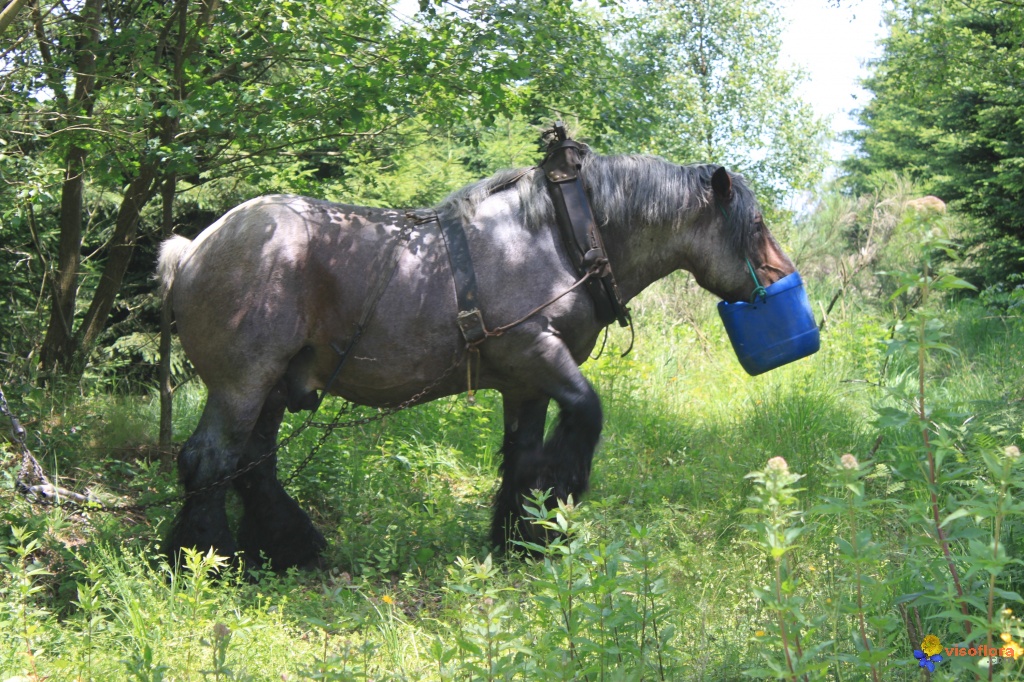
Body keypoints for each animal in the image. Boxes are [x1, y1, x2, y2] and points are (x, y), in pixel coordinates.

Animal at [159, 140, 794, 565]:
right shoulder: (538, 352)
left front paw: (520, 539)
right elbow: (583, 419)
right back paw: (205, 560)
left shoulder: (525, 382)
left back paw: (289, 548)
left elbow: (523, 460)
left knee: (253, 465)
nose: (785, 276)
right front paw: (551, 523)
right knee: (209, 461)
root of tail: (192, 248)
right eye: (756, 223)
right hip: (241, 384)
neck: (558, 236)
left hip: (272, 386)